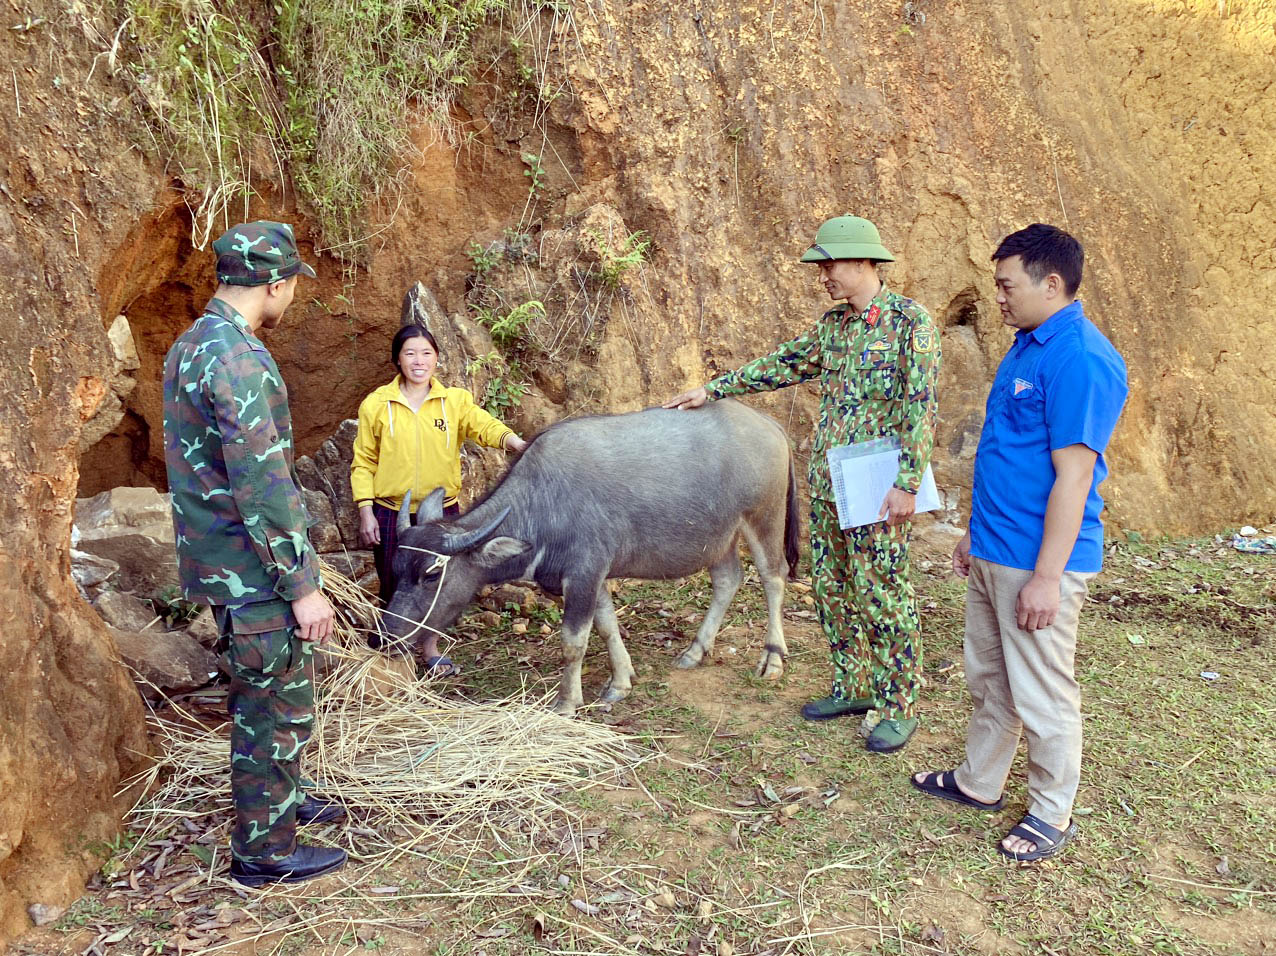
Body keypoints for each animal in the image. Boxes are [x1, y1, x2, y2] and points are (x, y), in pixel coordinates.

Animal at [380, 398, 796, 714]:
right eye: (396, 569)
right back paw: (695, 651)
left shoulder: (583, 574)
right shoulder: (594, 578)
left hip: (764, 517)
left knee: (774, 576)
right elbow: (608, 626)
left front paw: (567, 702)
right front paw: (621, 682)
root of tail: (769, 424)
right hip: (719, 536)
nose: (381, 637)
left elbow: (573, 642)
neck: (544, 503)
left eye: (432, 574)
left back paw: (773, 657)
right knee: (728, 580)